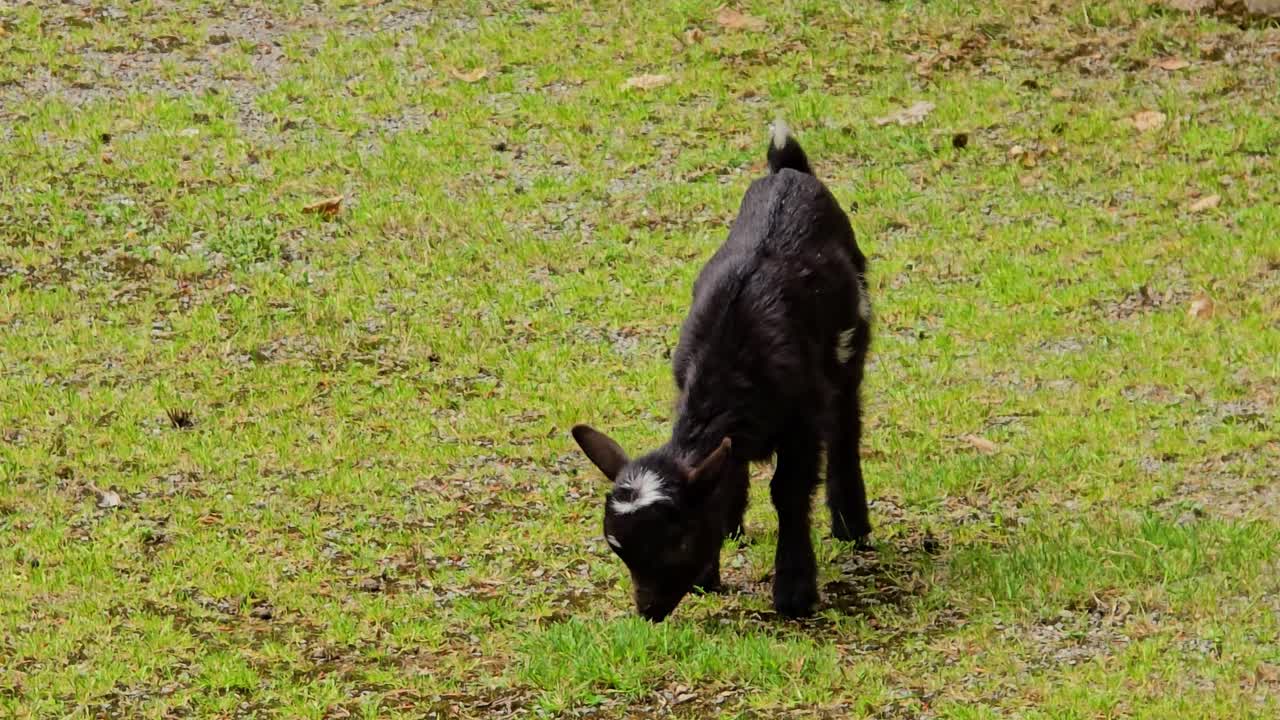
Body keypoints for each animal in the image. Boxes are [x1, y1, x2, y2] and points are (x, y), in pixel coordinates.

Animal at [572, 120, 872, 621]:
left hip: (853, 341)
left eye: (678, 541)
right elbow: (726, 478)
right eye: (617, 548)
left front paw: (794, 591)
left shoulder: (803, 420)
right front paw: (710, 571)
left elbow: (788, 491)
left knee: (847, 424)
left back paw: (852, 524)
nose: (648, 611)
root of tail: (787, 170)